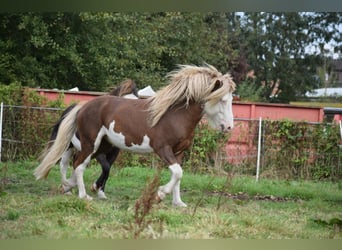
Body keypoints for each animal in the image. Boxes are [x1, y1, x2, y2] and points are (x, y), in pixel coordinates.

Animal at [34, 65, 235, 207]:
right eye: (222, 100)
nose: (229, 127)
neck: (174, 115)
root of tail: (83, 106)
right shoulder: (163, 148)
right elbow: (177, 173)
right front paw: (160, 195)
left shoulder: (179, 152)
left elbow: (179, 176)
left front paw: (178, 203)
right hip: (90, 143)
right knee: (77, 165)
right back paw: (83, 195)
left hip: (103, 146)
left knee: (78, 164)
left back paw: (73, 187)